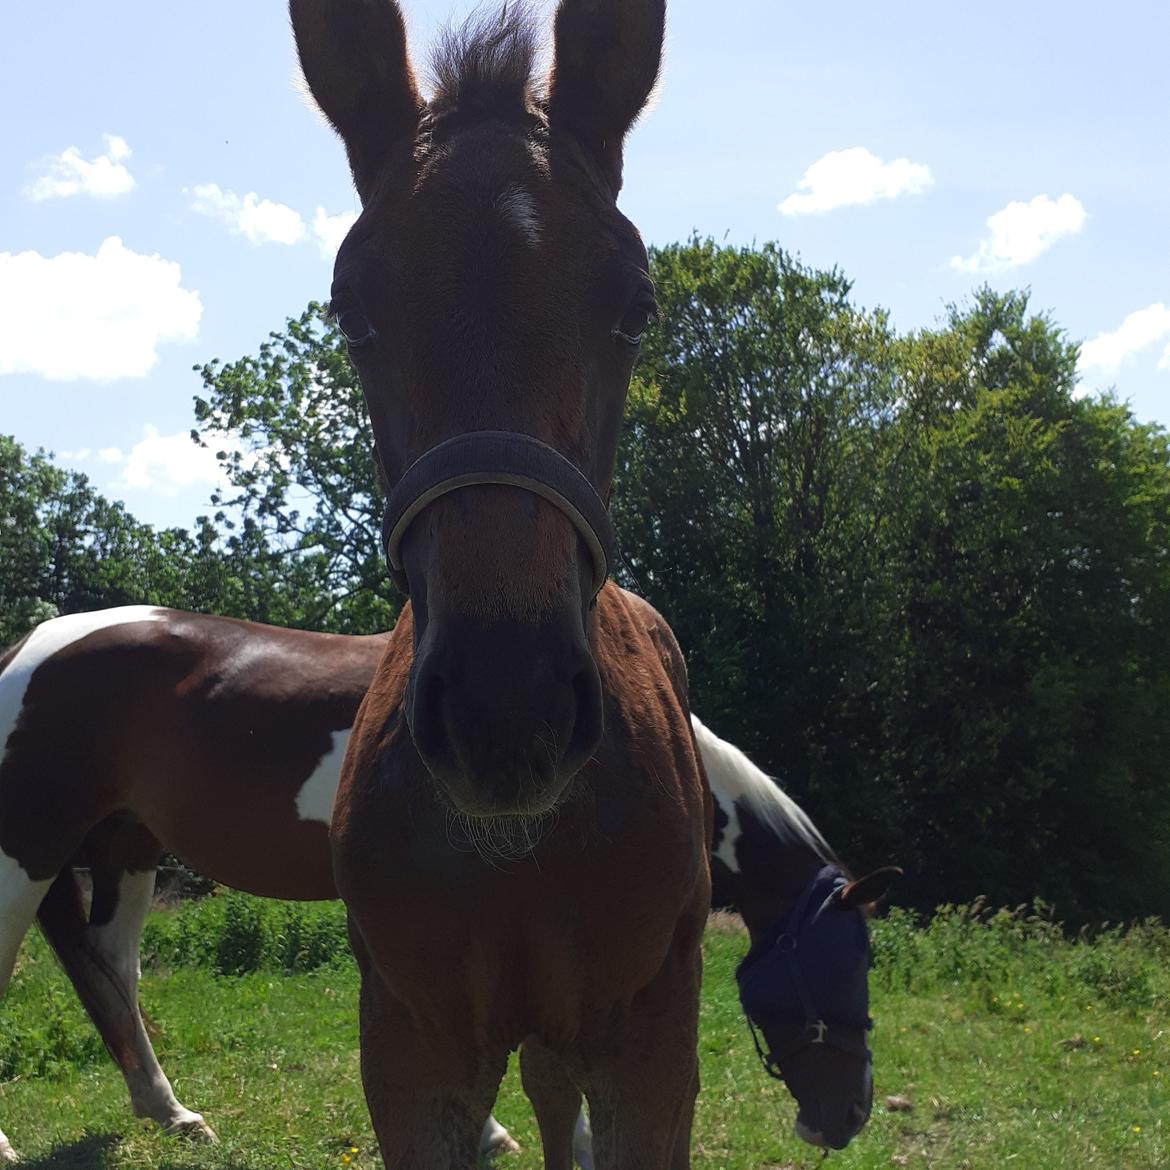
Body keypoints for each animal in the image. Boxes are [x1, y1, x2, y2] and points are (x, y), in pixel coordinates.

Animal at [0, 603, 884, 1160]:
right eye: (849, 964)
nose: (849, 1117)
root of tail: (29, 650)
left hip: (127, 848)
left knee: (110, 972)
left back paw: (171, 1112)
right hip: (29, 848)